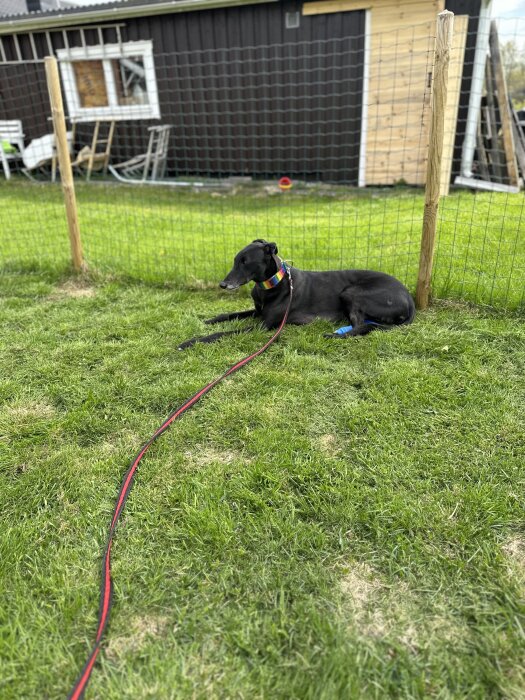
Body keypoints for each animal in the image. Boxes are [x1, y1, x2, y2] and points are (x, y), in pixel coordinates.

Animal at [178, 241, 416, 350]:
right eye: (236, 260)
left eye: (246, 262)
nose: (223, 284)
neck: (272, 284)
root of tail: (409, 298)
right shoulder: (257, 312)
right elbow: (228, 315)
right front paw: (209, 320)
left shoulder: (263, 325)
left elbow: (223, 333)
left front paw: (191, 341)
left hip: (351, 292)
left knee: (362, 327)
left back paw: (334, 335)